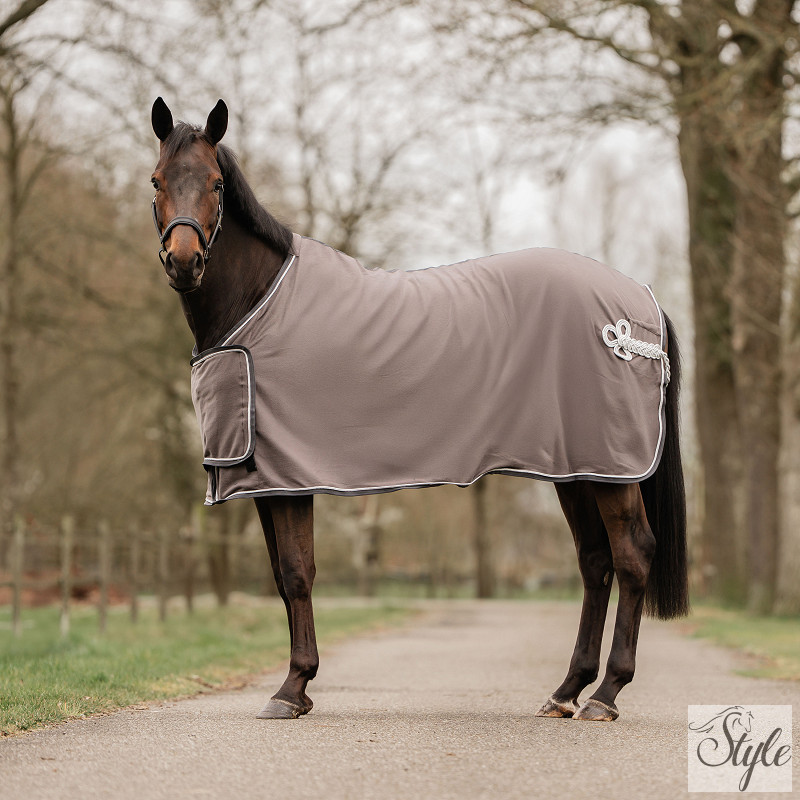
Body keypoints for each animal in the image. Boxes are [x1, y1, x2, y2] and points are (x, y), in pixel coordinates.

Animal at [149, 97, 688, 722]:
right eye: (157, 180)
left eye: (216, 183)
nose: (184, 261)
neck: (257, 303)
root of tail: (640, 300)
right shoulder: (265, 479)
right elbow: (284, 579)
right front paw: (298, 687)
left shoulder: (290, 479)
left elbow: (298, 573)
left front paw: (292, 688)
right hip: (578, 469)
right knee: (595, 562)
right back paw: (566, 691)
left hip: (611, 469)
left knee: (632, 556)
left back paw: (606, 695)